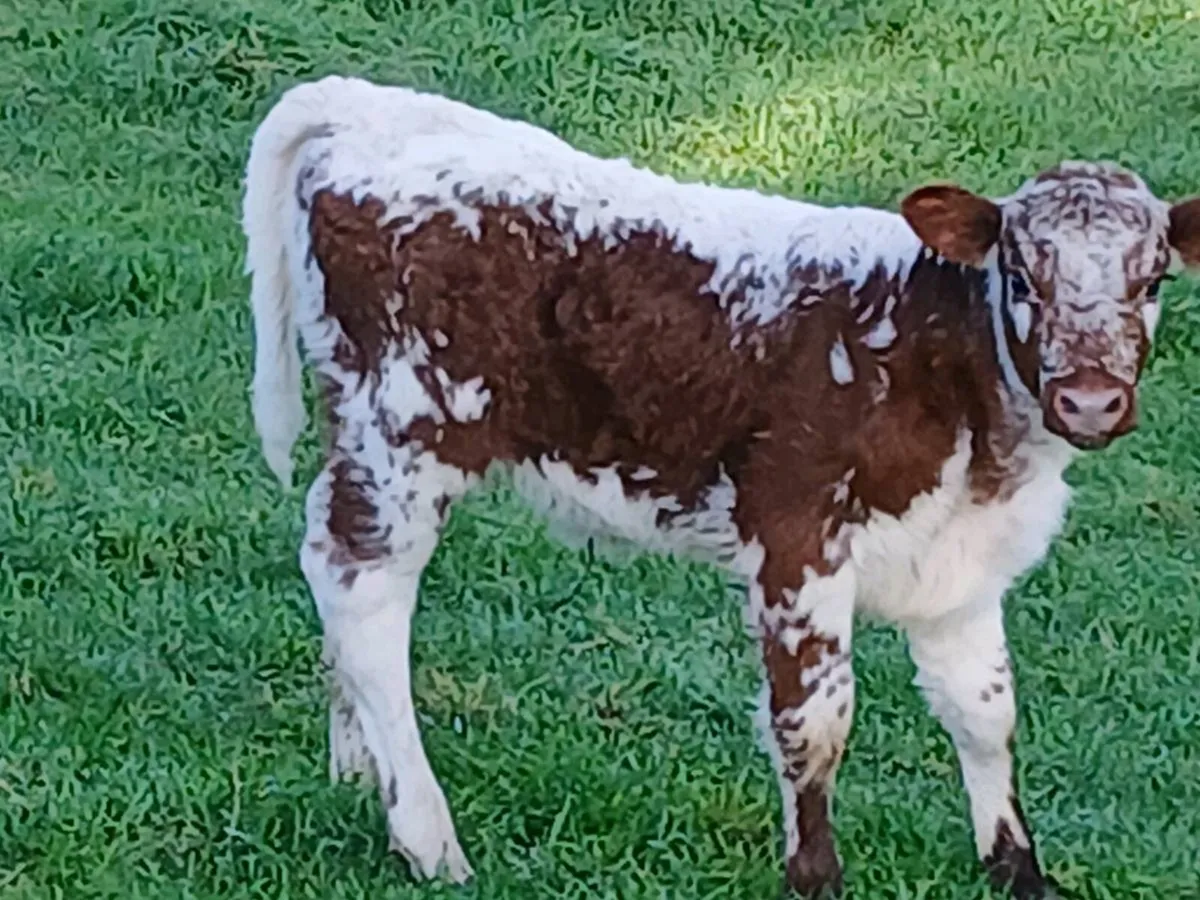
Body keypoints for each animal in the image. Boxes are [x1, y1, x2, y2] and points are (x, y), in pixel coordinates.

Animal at [241, 74, 1200, 898]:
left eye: (1153, 278)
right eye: (1022, 275)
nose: (1089, 399)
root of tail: (362, 105)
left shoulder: (958, 565)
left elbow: (987, 711)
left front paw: (1018, 870)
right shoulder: (797, 537)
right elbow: (814, 723)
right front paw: (815, 879)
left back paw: (357, 766)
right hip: (403, 431)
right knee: (362, 590)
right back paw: (426, 836)